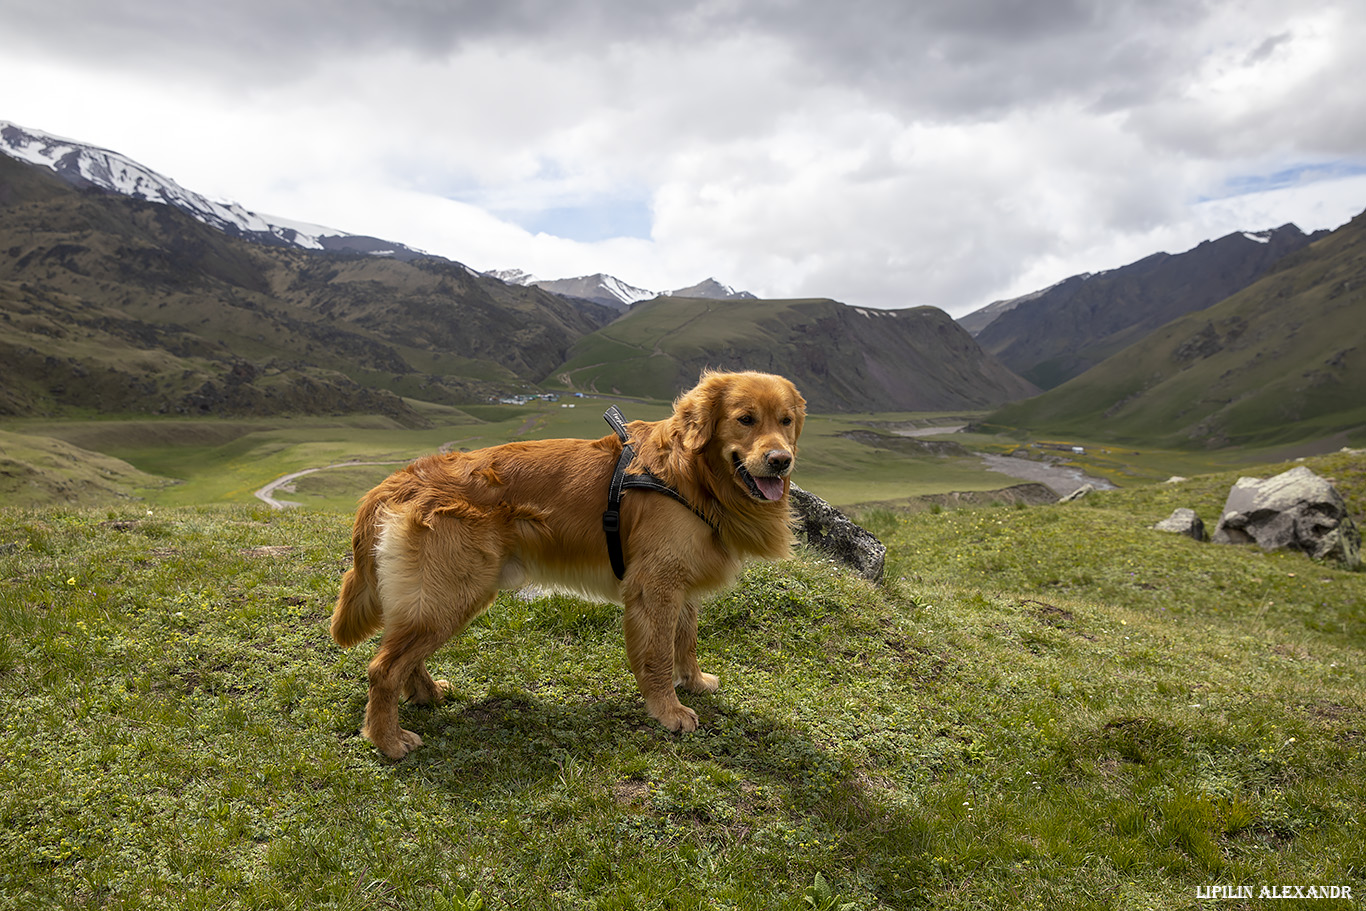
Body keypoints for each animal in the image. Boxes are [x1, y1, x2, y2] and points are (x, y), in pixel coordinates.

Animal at [329, 371, 797, 764]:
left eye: (787, 420)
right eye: (745, 419)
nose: (781, 460)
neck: (694, 475)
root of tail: (400, 479)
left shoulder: (680, 583)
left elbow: (687, 640)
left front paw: (695, 682)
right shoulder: (656, 585)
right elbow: (660, 655)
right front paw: (669, 710)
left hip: (439, 596)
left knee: (403, 654)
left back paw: (426, 694)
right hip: (453, 592)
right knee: (383, 668)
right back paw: (388, 740)